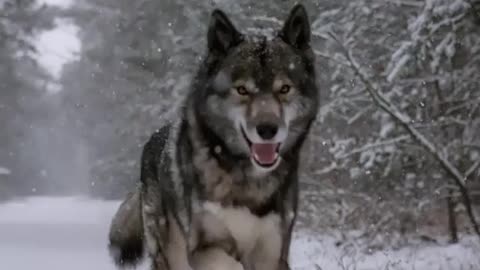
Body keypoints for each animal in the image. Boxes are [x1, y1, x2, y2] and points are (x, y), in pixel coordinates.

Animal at [109, 3, 318, 270]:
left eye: (284, 89)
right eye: (242, 90)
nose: (267, 129)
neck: (248, 181)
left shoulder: (273, 253)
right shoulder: (205, 247)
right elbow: (231, 264)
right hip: (171, 253)